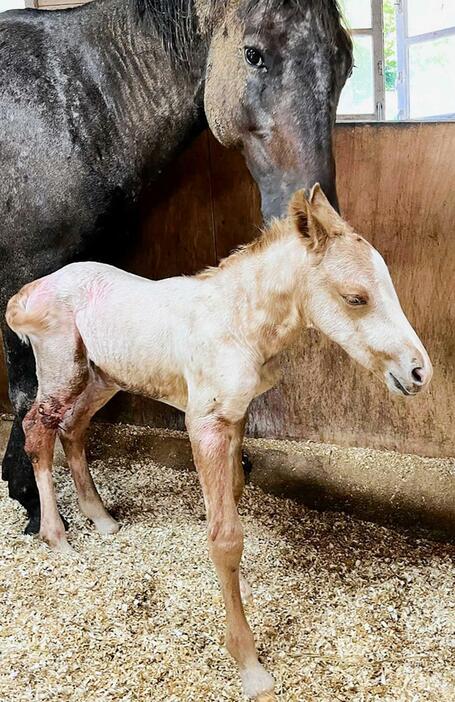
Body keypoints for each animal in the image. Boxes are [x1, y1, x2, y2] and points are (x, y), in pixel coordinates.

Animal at [0, 0, 352, 532]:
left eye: (344, 62)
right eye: (253, 54)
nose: (317, 214)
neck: (74, 103)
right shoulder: (26, 271)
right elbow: (26, 390)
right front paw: (31, 503)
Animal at [8, 188, 434, 702]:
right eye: (356, 298)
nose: (419, 372)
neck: (239, 322)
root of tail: (28, 291)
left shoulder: (236, 416)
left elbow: (233, 495)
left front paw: (243, 588)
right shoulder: (204, 423)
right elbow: (225, 535)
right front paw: (249, 663)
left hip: (103, 376)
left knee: (73, 428)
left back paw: (102, 519)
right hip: (62, 369)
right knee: (38, 428)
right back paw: (57, 537)